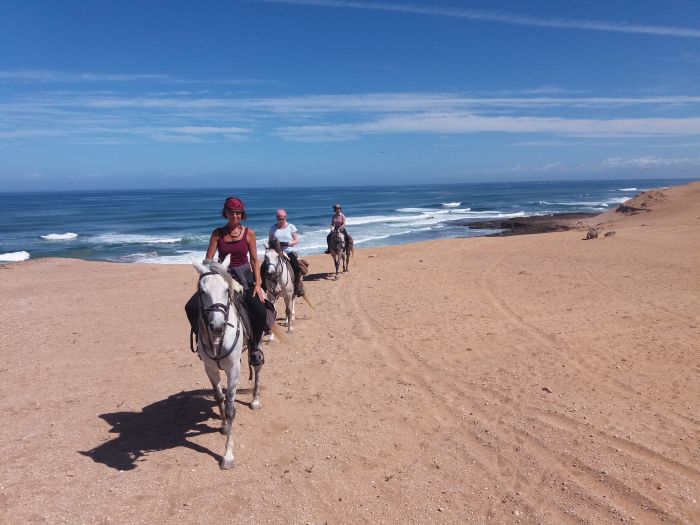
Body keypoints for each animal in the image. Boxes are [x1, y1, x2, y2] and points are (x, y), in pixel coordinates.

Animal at [191, 256, 262, 468]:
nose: (217, 326)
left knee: (257, 367)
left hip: (255, 348)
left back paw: (255, 400)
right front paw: (223, 425)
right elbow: (218, 397)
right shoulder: (210, 368)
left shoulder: (233, 369)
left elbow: (231, 408)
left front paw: (228, 455)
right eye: (202, 291)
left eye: (225, 289)